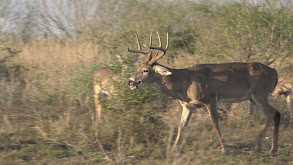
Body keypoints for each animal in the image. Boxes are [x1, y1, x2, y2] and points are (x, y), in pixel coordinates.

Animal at [126, 31, 280, 153]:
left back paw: (269, 147)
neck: (184, 83)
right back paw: (263, 146)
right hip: (253, 97)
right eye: (138, 67)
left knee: (274, 113)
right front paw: (173, 149)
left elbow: (215, 123)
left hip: (260, 93)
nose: (130, 81)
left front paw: (224, 148)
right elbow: (181, 126)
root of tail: (275, 72)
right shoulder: (188, 105)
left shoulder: (210, 98)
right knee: (270, 115)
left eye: (145, 70)